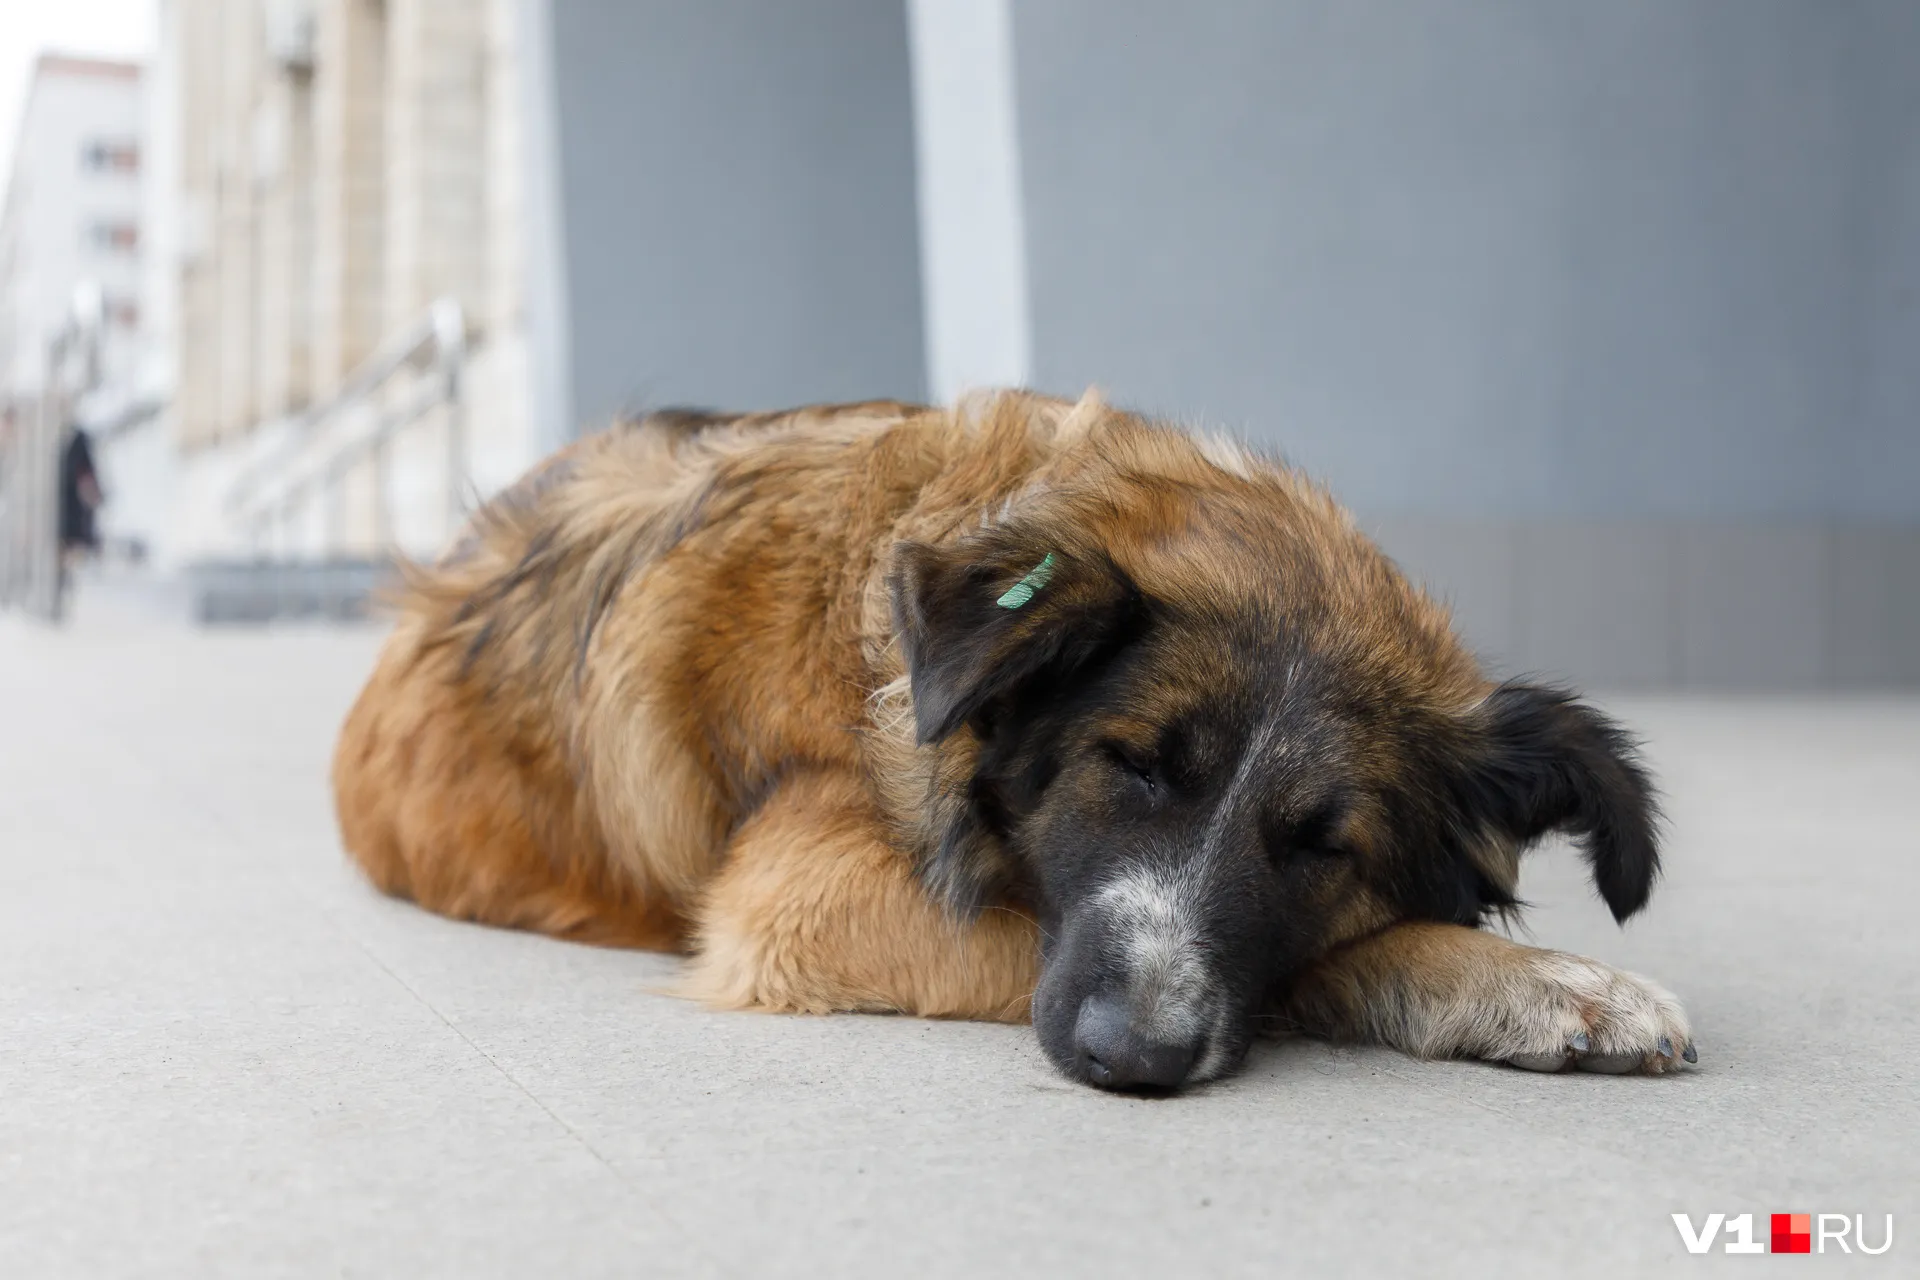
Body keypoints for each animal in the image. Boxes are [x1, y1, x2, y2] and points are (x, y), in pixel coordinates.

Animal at [334, 391, 1697, 1090]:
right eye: (1131, 763)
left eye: (1326, 846)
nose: (1130, 1057)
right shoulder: (799, 905)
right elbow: (1304, 968)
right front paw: (1527, 981)